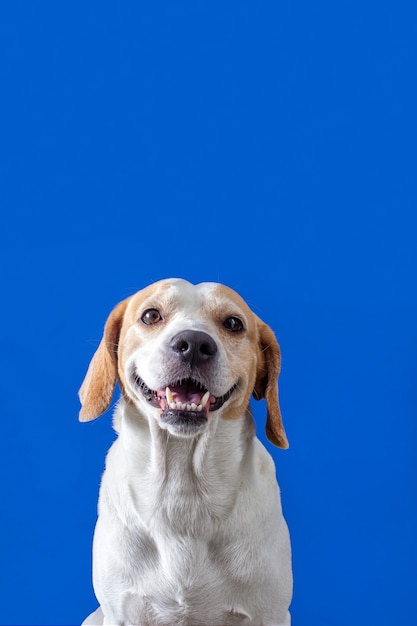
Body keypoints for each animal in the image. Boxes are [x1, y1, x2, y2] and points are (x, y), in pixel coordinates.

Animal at [79, 278, 292, 624]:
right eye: (151, 316)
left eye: (233, 323)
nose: (194, 343)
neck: (183, 487)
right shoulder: (120, 613)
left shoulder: (271, 614)